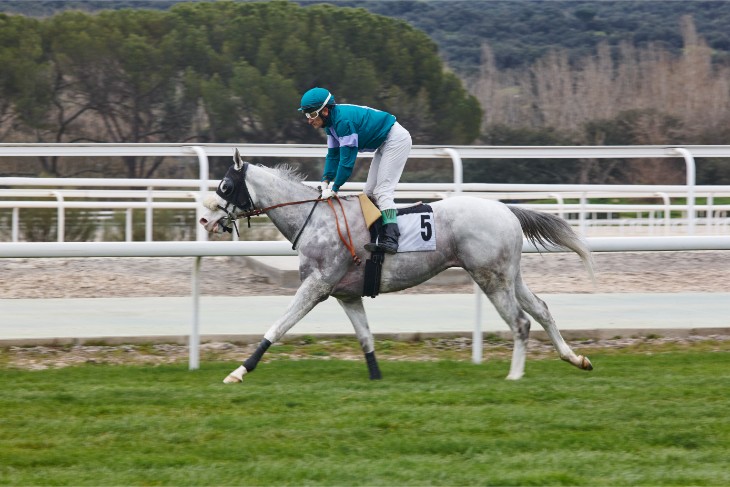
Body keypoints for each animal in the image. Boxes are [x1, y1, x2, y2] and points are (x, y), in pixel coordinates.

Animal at [198, 151, 592, 384]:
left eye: (225, 186)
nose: (204, 219)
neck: (316, 219)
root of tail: (506, 209)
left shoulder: (317, 286)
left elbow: (278, 327)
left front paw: (239, 371)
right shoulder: (346, 294)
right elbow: (365, 337)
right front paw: (376, 377)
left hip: (490, 278)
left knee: (521, 323)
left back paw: (514, 376)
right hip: (510, 276)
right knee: (541, 309)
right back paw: (575, 358)